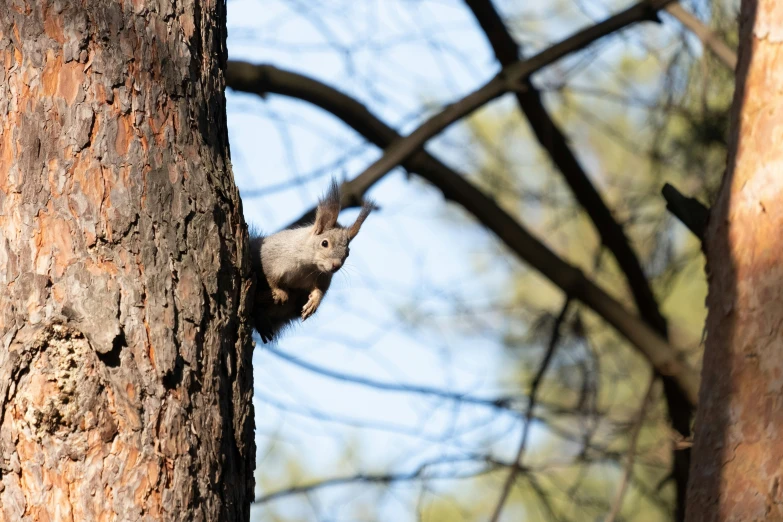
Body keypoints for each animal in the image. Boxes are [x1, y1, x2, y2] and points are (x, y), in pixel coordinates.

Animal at [251, 179, 374, 342]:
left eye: (348, 253)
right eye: (324, 243)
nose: (336, 266)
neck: (308, 267)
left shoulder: (323, 277)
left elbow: (320, 290)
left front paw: (314, 302)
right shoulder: (270, 259)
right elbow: (270, 278)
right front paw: (279, 292)